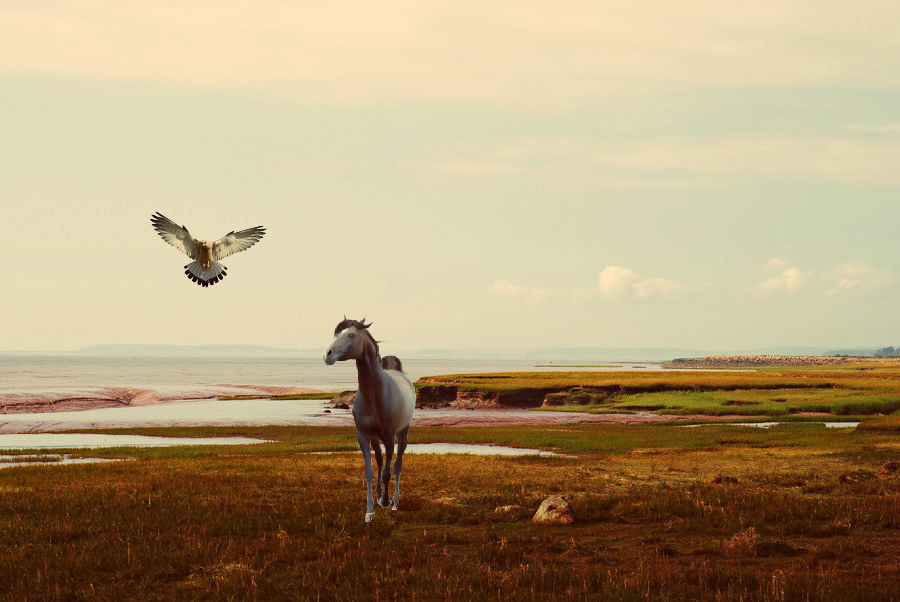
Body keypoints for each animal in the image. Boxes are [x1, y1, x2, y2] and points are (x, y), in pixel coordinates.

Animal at [324, 318, 414, 520]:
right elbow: (370, 472)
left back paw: (395, 501)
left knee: (397, 465)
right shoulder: (364, 437)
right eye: (338, 334)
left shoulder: (389, 438)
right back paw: (380, 495)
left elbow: (388, 472)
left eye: (351, 335)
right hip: (375, 438)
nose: (327, 354)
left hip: (402, 433)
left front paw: (386, 501)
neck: (375, 394)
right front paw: (370, 510)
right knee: (380, 461)